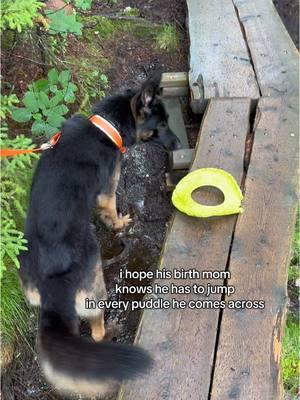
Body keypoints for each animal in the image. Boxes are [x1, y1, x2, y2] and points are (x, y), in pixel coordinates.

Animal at [19, 78, 183, 396]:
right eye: (162, 124)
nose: (180, 145)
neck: (107, 124)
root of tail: (52, 286)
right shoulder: (108, 191)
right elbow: (113, 211)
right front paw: (119, 223)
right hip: (95, 293)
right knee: (95, 333)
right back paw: (110, 334)